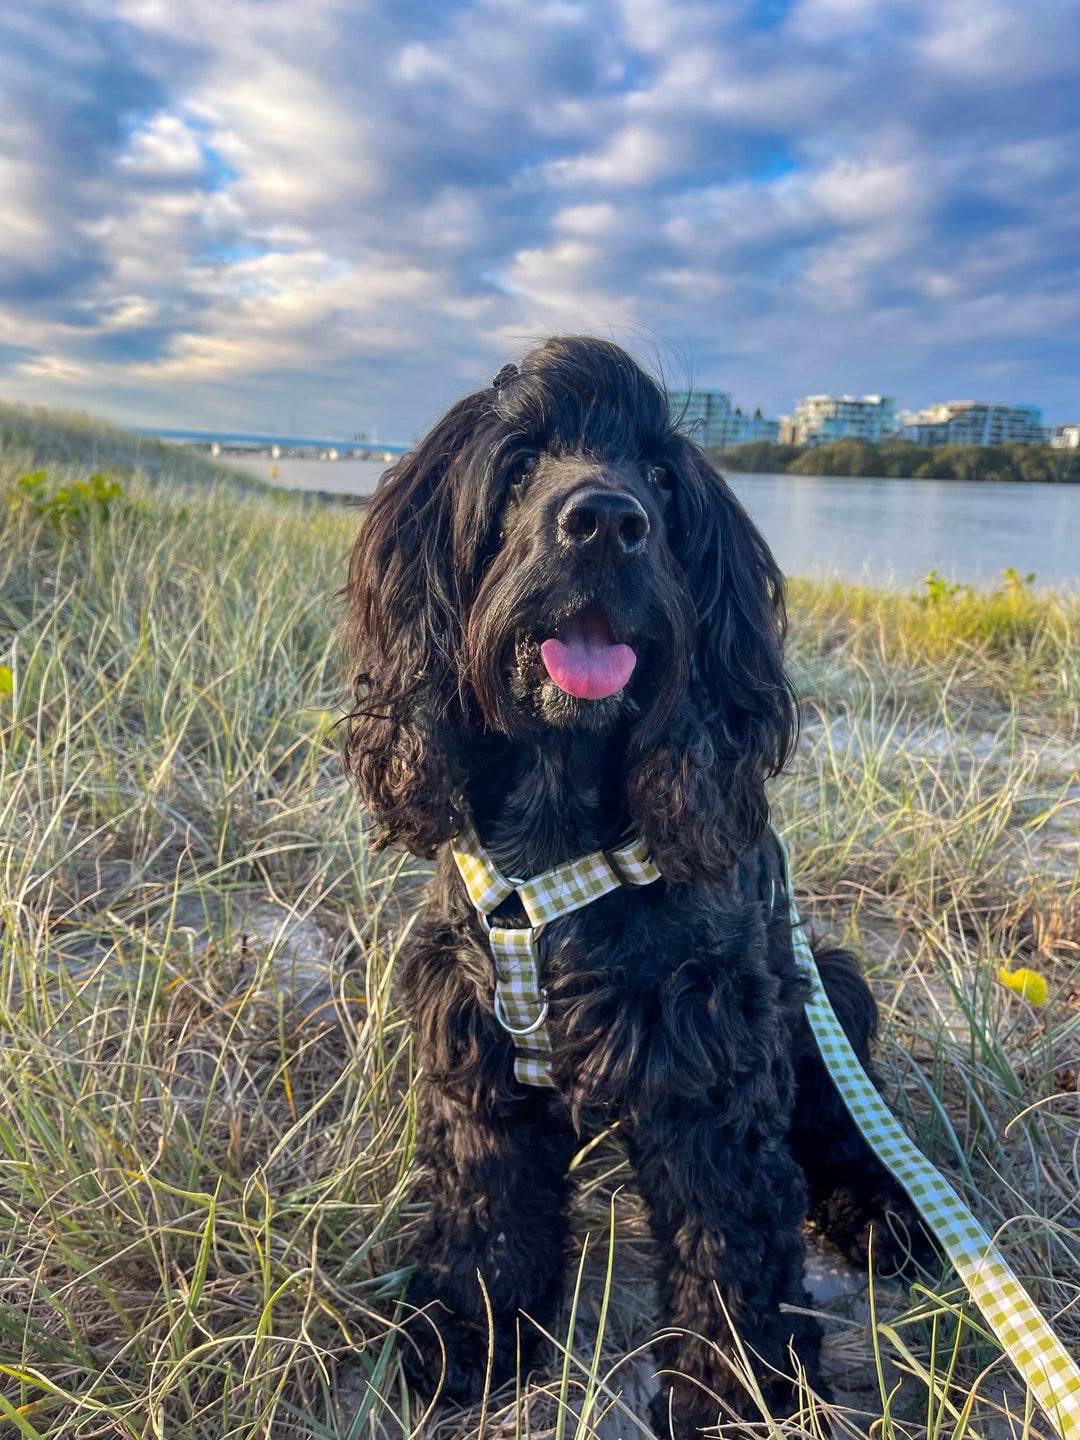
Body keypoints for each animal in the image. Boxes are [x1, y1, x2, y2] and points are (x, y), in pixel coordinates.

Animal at [347, 334, 933, 1428]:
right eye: (521, 464)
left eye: (661, 479)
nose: (607, 523)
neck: (555, 835)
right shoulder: (474, 1044)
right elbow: (486, 1201)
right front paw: (468, 1330)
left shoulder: (710, 1053)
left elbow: (729, 1234)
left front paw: (737, 1388)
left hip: (826, 987)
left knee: (848, 1120)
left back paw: (884, 1211)